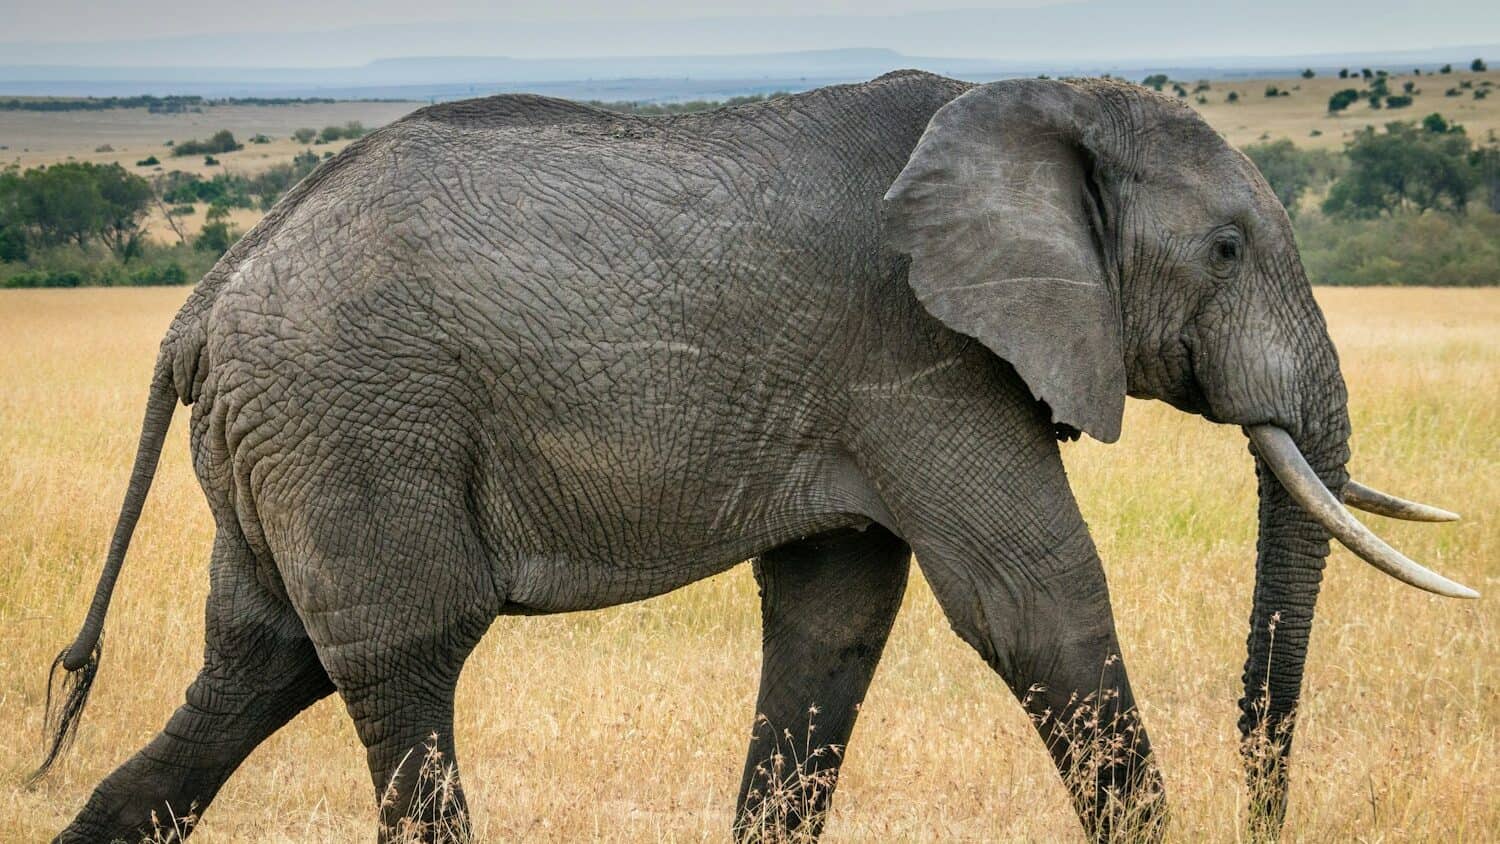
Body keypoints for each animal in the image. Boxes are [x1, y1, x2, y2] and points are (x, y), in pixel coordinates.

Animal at [33, 71, 1474, 842]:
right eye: (1226, 251)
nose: (1265, 812)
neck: (1022, 101)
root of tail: (201, 304)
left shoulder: (859, 395)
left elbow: (834, 624)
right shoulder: (918, 353)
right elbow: (1036, 600)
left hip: (286, 446)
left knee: (252, 671)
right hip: (355, 429)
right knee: (400, 665)